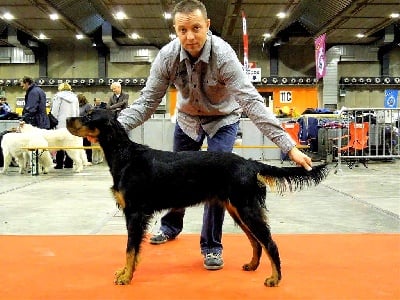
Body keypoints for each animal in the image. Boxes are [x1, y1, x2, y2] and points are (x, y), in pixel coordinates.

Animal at [65, 109, 328, 288]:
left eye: (88, 116)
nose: (67, 119)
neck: (125, 155)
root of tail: (250, 164)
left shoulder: (135, 212)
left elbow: (130, 248)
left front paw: (125, 276)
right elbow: (130, 249)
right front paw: (124, 272)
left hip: (246, 208)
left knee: (269, 242)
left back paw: (274, 278)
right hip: (237, 209)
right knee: (256, 241)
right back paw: (252, 265)